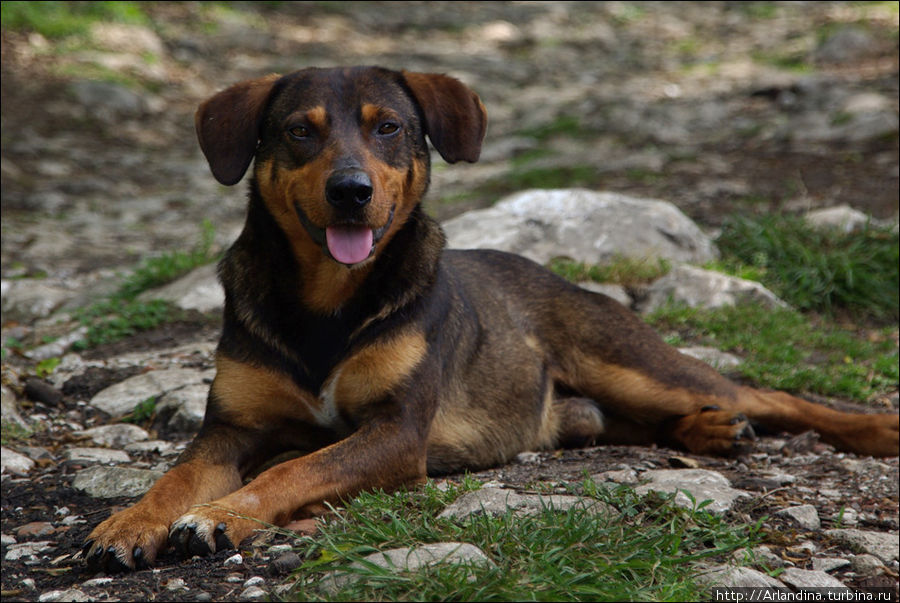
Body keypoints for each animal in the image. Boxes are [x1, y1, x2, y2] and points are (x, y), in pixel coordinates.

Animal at [81, 67, 896, 576]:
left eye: (389, 128)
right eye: (299, 131)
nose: (351, 191)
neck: (327, 299)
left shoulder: (396, 432)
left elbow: (295, 467)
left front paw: (223, 514)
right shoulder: (229, 429)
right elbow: (175, 476)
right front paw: (127, 523)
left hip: (631, 360)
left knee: (771, 396)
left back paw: (863, 428)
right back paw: (710, 431)